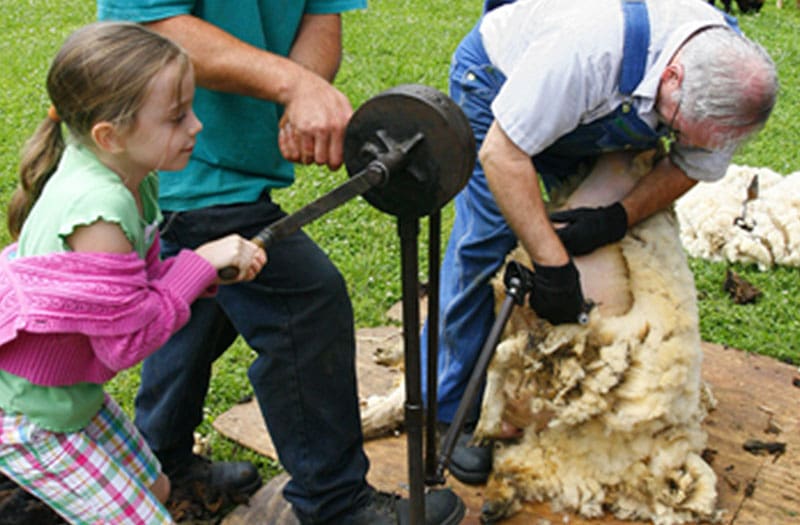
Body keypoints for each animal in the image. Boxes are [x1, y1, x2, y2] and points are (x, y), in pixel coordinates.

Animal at [476, 151, 720, 524]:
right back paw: (494, 497)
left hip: (580, 373)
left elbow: (503, 352)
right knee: (518, 465)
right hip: (559, 446)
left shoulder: (575, 339)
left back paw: (489, 439)